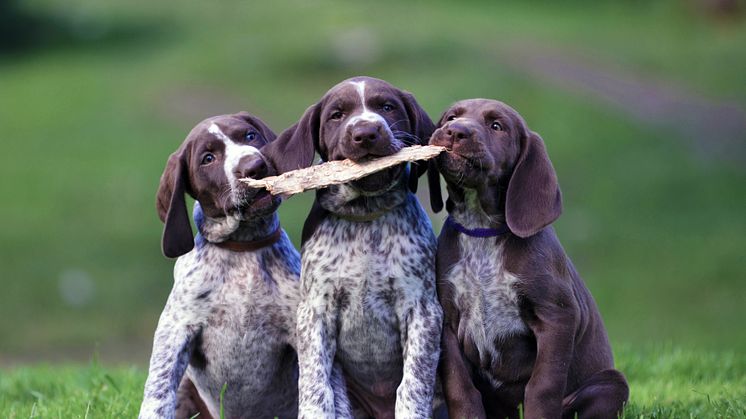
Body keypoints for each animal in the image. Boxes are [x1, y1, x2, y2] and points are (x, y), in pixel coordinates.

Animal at [140, 111, 348, 419]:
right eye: (208, 158)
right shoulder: (175, 329)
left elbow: (326, 389)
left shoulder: (301, 329)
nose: (253, 166)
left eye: (250, 136)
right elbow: (158, 391)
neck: (243, 247)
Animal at [262, 77, 442, 418]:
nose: (366, 133)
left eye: (387, 106)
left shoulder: (422, 309)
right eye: (336, 115)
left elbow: (414, 383)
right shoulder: (314, 311)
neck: (365, 217)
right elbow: (315, 386)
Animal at [428, 99, 624, 419]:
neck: (482, 229)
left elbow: (542, 386)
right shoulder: (447, 320)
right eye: (451, 117)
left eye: (497, 126)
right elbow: (460, 388)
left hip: (611, 383)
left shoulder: (556, 316)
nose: (455, 131)